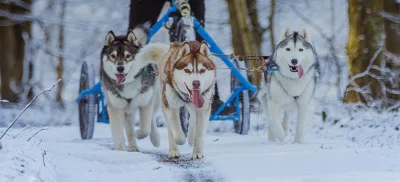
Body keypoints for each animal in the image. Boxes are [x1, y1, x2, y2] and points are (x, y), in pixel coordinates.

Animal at [100, 23, 161, 152]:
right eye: (113, 56)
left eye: (128, 56)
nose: (120, 68)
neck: (128, 83)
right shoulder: (115, 107)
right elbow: (119, 133)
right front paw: (120, 151)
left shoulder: (145, 103)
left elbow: (145, 129)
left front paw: (139, 133)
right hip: (127, 110)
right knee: (129, 130)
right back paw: (133, 148)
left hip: (154, 99)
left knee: (151, 119)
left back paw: (155, 139)